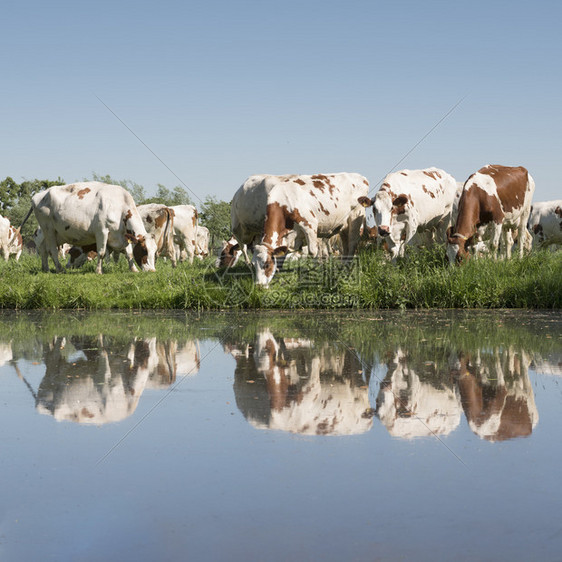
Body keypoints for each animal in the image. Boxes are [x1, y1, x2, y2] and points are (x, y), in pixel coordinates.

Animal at [235, 172, 368, 286]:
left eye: (267, 265)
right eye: (254, 265)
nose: (259, 285)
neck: (284, 202)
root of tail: (361, 177)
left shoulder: (310, 225)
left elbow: (313, 252)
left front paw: (316, 270)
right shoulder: (289, 236)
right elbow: (283, 253)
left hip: (356, 216)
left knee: (352, 243)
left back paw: (348, 268)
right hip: (344, 226)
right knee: (345, 245)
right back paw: (344, 266)